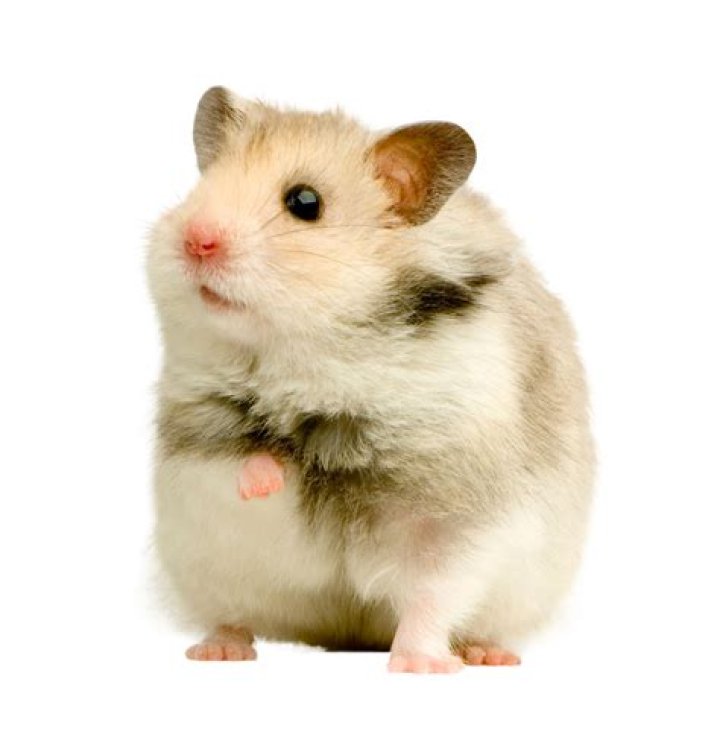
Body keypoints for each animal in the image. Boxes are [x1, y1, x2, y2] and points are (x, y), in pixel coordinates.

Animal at [146, 86, 594, 672]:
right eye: (202, 185)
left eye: (305, 202)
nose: (196, 240)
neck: (314, 357)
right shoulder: (196, 442)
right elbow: (239, 461)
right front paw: (270, 475)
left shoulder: (456, 516)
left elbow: (433, 595)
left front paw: (420, 665)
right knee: (232, 612)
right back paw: (218, 650)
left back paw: (487, 655)